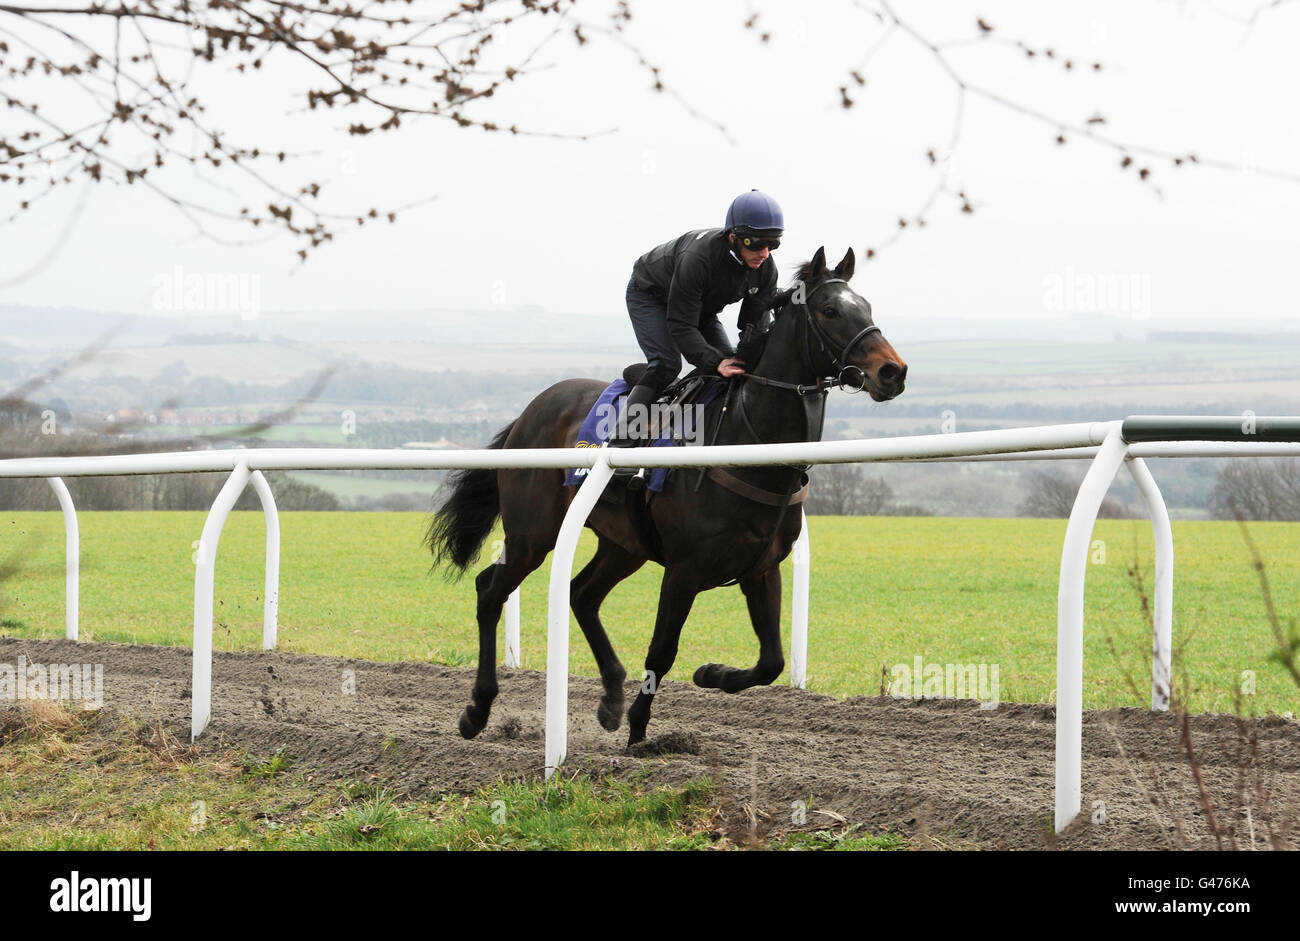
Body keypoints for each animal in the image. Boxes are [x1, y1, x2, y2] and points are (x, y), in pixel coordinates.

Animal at [423, 245, 904, 748]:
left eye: (867, 307)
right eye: (830, 311)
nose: (893, 371)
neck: (747, 441)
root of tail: (529, 412)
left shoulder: (762, 569)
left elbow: (771, 661)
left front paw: (711, 674)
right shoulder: (684, 570)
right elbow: (662, 650)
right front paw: (639, 729)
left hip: (624, 544)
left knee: (581, 594)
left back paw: (610, 696)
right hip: (533, 534)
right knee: (490, 591)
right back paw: (477, 710)